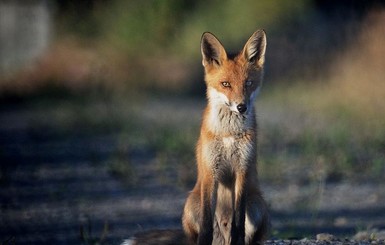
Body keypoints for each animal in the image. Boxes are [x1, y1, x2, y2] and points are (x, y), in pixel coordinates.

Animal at [182, 29, 268, 244]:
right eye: (226, 84)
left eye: (248, 83)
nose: (241, 107)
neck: (229, 133)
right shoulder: (211, 171)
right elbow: (206, 225)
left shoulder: (242, 169)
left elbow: (239, 221)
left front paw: (237, 240)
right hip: (191, 205)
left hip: (257, 204)